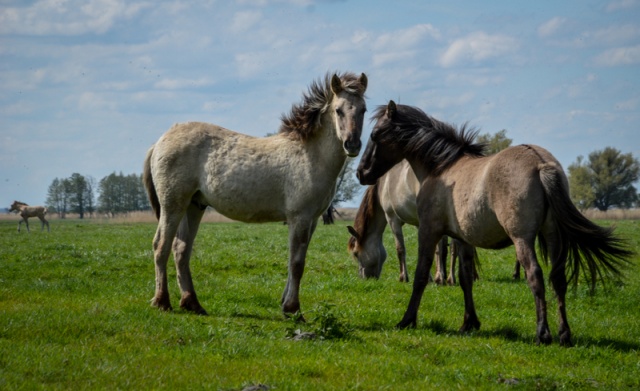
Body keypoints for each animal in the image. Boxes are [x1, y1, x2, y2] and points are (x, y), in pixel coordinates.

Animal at [143, 72, 368, 318]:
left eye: (363, 110)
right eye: (338, 110)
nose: (352, 144)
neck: (309, 155)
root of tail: (160, 140)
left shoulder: (313, 220)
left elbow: (295, 261)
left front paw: (285, 305)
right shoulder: (299, 218)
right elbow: (297, 264)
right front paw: (293, 309)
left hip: (194, 206)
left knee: (180, 250)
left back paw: (192, 303)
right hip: (173, 205)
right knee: (161, 246)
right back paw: (162, 301)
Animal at [358, 100, 632, 346]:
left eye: (374, 134)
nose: (361, 172)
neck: (441, 169)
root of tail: (541, 163)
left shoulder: (428, 231)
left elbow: (421, 275)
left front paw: (407, 320)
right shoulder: (462, 239)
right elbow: (465, 277)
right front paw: (469, 322)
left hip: (522, 239)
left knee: (535, 276)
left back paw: (543, 333)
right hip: (552, 236)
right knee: (558, 278)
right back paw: (564, 334)